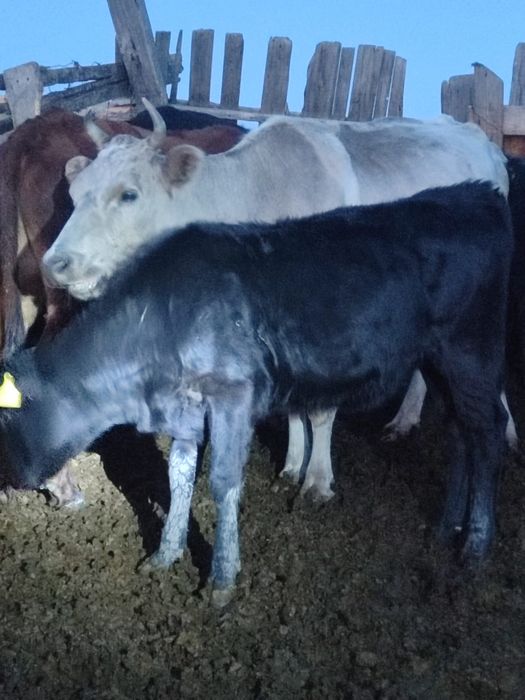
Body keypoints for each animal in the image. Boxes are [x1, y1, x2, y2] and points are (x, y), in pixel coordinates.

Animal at [2, 182, 513, 606]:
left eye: (5, 417)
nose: (10, 483)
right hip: (439, 360)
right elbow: (178, 475)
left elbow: (222, 480)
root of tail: (476, 194)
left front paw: (223, 577)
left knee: (487, 433)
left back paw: (475, 543)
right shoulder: (184, 404)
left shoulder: (233, 395)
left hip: (470, 351)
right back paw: (446, 527)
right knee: (460, 432)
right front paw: (166, 555)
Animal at [42, 101, 511, 501]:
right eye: (75, 193)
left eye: (129, 194)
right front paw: (290, 467)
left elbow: (321, 410)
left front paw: (317, 481)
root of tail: (482, 141)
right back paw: (404, 420)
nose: (55, 263)